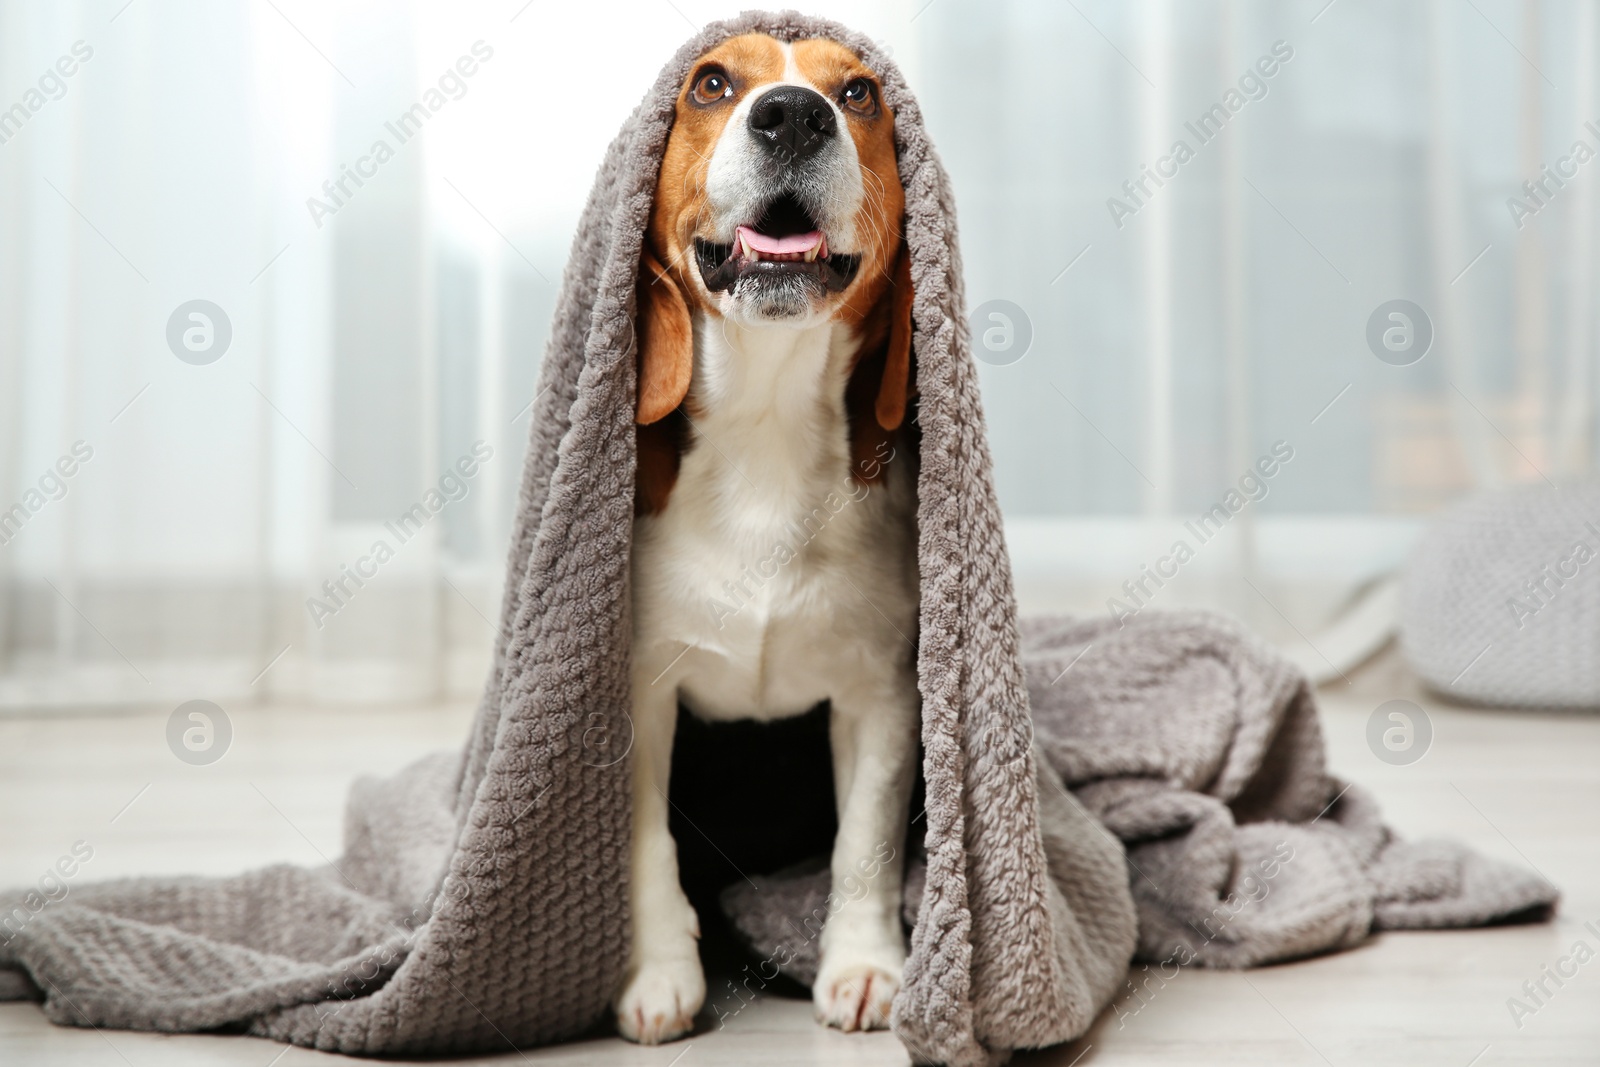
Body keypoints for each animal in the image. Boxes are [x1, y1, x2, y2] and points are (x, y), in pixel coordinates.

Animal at [620, 31, 928, 1043]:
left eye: (860, 92)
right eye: (712, 83)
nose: (793, 114)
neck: (767, 426)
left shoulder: (881, 693)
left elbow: (865, 842)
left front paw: (865, 965)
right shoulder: (638, 690)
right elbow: (643, 842)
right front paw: (656, 972)